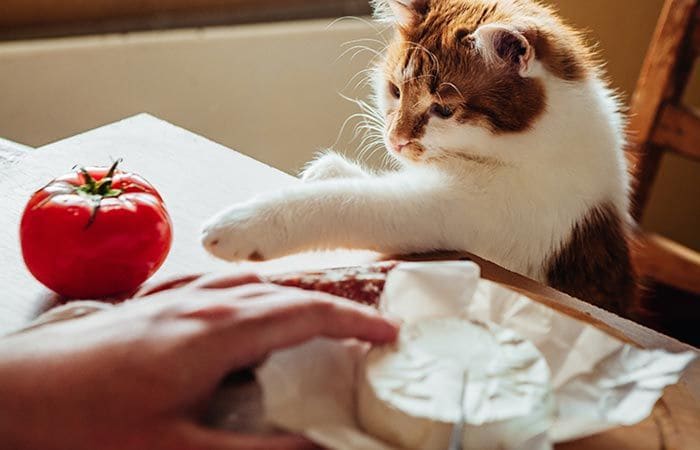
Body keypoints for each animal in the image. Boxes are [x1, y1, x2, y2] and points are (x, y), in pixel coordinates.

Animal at [201, 0, 636, 314]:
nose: (394, 140)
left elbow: (345, 203)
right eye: (395, 90)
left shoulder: (452, 208)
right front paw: (329, 169)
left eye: (443, 109)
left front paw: (244, 224)